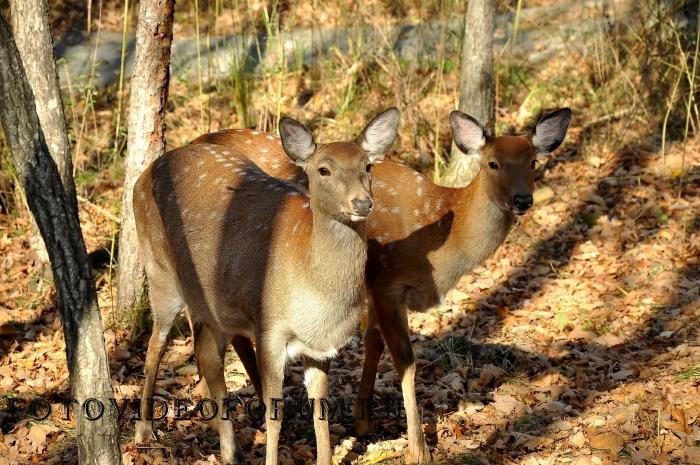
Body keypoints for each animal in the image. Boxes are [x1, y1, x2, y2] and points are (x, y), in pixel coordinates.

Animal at [134, 106, 402, 464]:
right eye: (324, 169)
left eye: (368, 166)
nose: (362, 203)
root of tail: (142, 177)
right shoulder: (269, 330)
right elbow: (274, 414)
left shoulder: (320, 347)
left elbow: (321, 410)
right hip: (159, 272)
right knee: (156, 346)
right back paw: (145, 431)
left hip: (213, 305)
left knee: (207, 354)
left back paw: (228, 447)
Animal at [193, 108, 576, 460]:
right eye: (493, 163)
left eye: (533, 162)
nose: (523, 200)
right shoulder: (387, 281)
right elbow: (405, 359)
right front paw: (418, 450)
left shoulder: (376, 287)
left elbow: (374, 342)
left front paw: (363, 421)